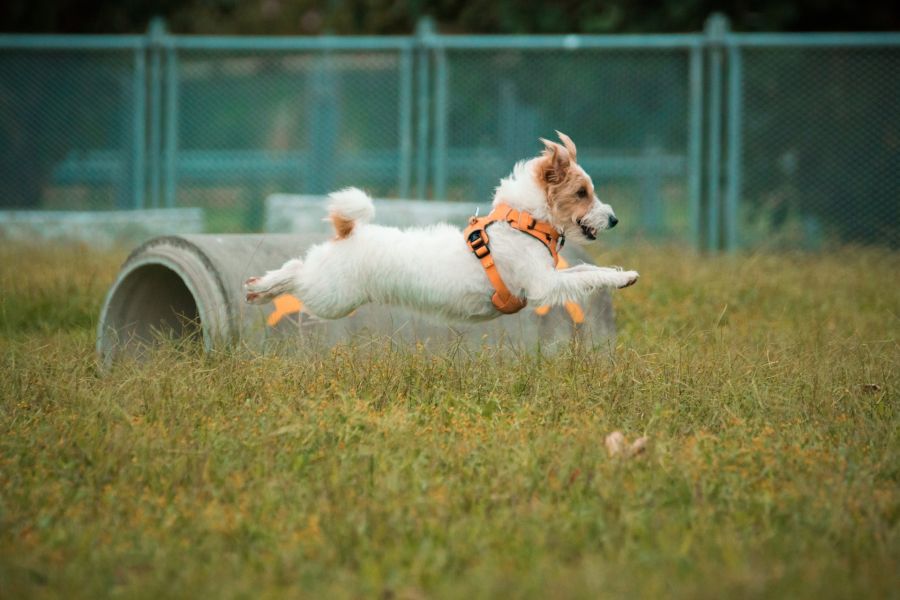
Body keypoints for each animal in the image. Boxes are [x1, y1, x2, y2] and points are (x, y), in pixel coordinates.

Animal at [244, 132, 640, 324]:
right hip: (331, 297)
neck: (523, 223)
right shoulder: (544, 285)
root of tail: (349, 232)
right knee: (296, 273)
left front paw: (623, 275)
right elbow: (586, 276)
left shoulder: (551, 276)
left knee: (296, 265)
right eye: (581, 193)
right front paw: (622, 276)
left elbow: (587, 270)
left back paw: (260, 289)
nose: (614, 219)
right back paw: (262, 287)